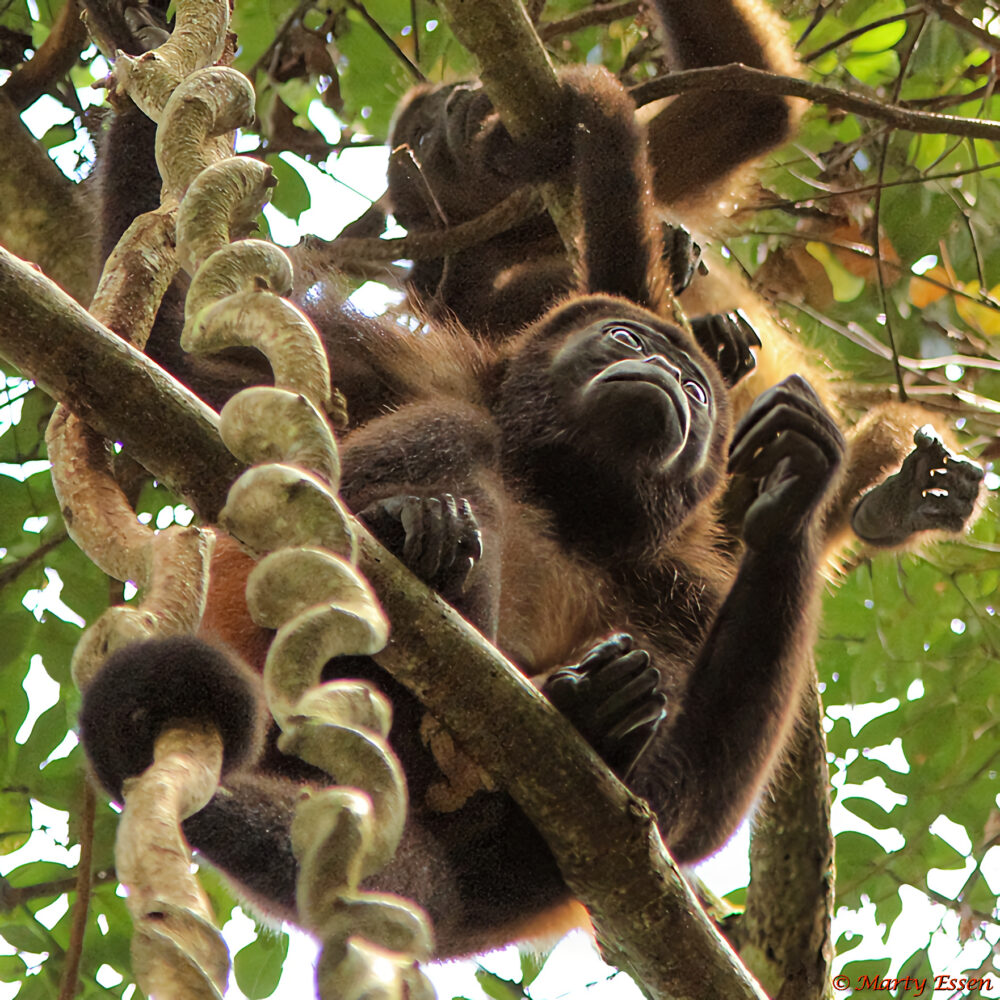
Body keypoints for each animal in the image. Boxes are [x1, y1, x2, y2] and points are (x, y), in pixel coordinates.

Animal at [79, 61, 846, 957]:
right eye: (624, 341)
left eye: (694, 392)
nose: (666, 374)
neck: (562, 493)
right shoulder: (407, 369)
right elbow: (170, 351)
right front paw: (143, 62)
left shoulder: (677, 580)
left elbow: (698, 811)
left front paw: (795, 490)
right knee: (455, 438)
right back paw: (421, 561)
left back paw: (589, 719)